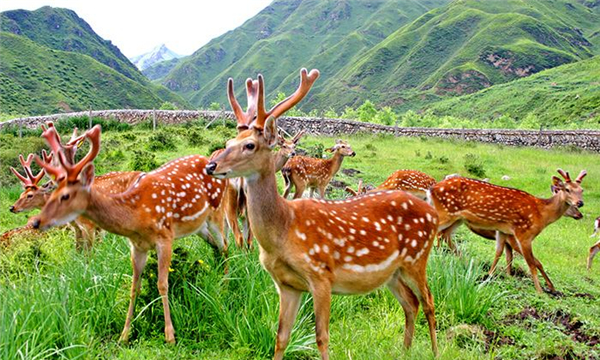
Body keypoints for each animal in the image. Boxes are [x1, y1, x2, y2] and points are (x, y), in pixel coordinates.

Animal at [33, 123, 230, 344]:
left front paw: (170, 335)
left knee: (225, 245)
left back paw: (225, 285)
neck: (136, 218)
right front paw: (124, 335)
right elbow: (134, 287)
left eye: (65, 196)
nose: (36, 222)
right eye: (52, 194)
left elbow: (162, 284)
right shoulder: (137, 246)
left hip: (217, 212)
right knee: (216, 246)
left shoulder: (165, 236)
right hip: (199, 227)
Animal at [205, 69, 436, 358]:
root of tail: (433, 214)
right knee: (411, 302)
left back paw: (436, 351)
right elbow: (281, 337)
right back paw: (405, 350)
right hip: (392, 272)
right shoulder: (286, 285)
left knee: (429, 301)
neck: (283, 231)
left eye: (249, 145)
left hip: (417, 258)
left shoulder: (321, 275)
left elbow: (322, 337)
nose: (211, 165)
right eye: (228, 141)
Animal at [428, 170, 588, 294]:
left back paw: (464, 262)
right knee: (436, 232)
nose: (580, 204)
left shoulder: (504, 231)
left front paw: (489, 276)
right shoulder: (523, 233)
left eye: (581, 190)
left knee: (445, 235)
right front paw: (540, 290)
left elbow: (500, 253)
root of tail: (432, 188)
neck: (541, 214)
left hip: (457, 219)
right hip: (446, 212)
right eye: (567, 189)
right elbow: (532, 263)